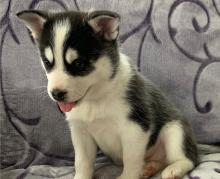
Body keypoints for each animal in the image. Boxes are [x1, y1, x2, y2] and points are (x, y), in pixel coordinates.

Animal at [17, 10, 199, 179]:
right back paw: (150, 167)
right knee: (161, 160)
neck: (96, 98)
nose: (56, 94)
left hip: (175, 131)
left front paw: (128, 176)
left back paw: (174, 169)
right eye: (47, 63)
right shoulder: (81, 133)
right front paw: (81, 176)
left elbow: (131, 160)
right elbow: (82, 161)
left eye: (79, 64)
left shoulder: (135, 128)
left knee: (187, 159)